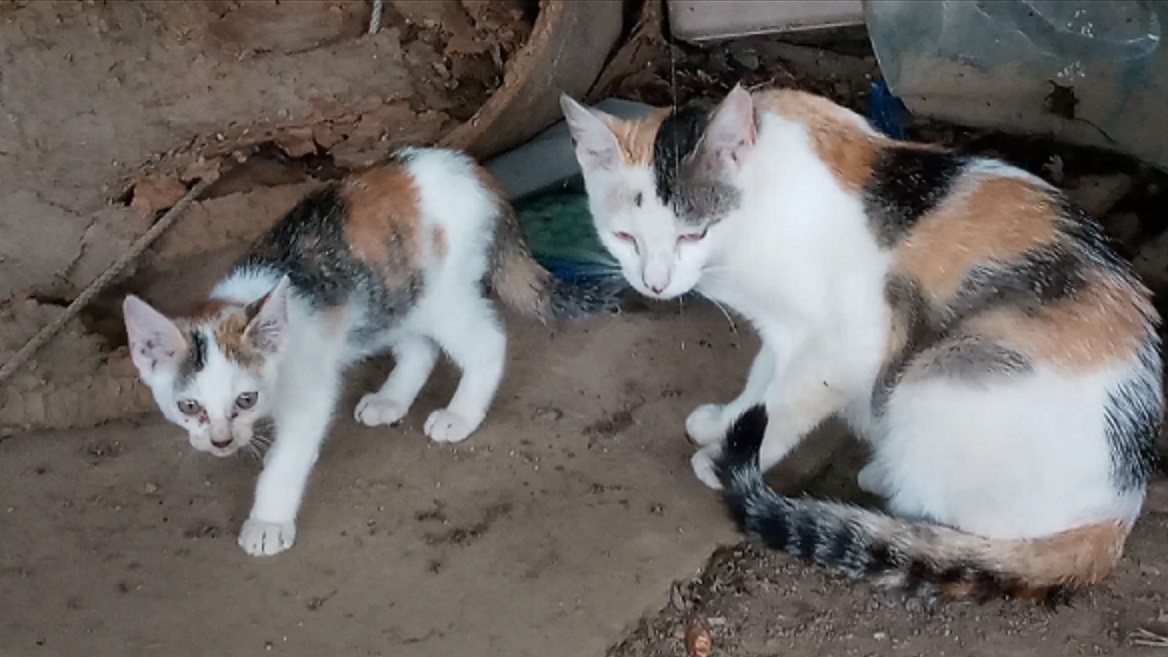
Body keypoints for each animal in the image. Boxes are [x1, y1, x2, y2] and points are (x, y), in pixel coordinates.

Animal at [123, 146, 604, 557]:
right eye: (189, 406)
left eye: (246, 399)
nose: (221, 441)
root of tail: (471, 168)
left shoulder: (309, 392)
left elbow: (286, 459)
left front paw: (268, 522)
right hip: (394, 296)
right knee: (421, 348)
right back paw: (391, 399)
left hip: (441, 295)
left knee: (487, 341)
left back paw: (461, 414)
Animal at [560, 86, 1162, 600]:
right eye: (624, 236)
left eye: (693, 234)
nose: (654, 283)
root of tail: (1117, 513)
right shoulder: (784, 329)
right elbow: (761, 381)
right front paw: (723, 423)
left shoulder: (843, 343)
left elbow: (783, 405)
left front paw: (719, 459)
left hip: (939, 378)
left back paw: (887, 474)